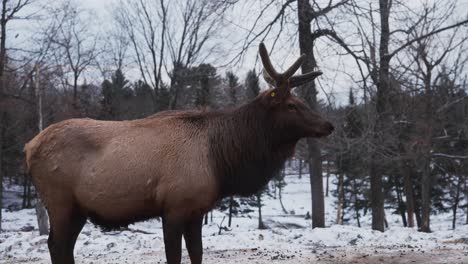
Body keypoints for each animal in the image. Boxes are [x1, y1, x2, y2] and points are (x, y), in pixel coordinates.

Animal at [24, 43, 332, 264]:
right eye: (291, 105)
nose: (328, 124)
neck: (221, 162)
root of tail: (28, 147)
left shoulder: (196, 210)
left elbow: (197, 254)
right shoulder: (173, 207)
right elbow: (174, 257)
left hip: (77, 209)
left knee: (63, 247)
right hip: (59, 201)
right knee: (56, 245)